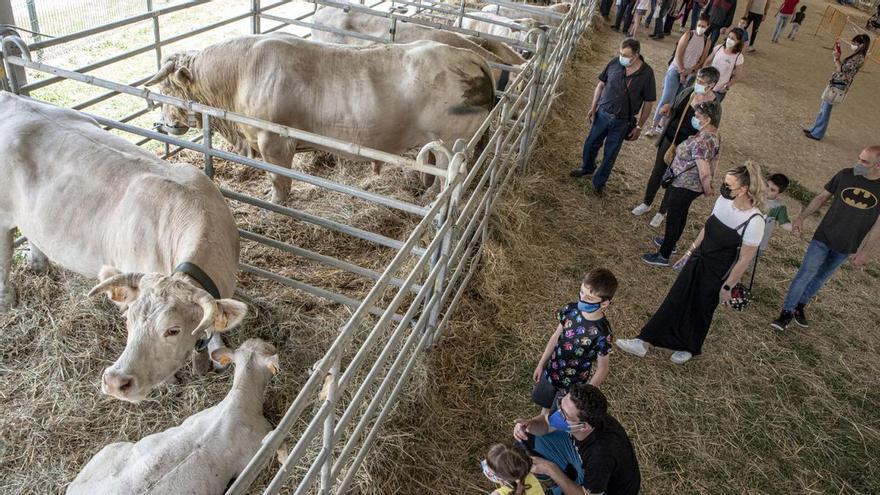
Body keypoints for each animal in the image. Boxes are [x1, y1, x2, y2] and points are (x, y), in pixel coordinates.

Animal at [0, 92, 244, 404]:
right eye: (128, 319)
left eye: (172, 330)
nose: (115, 381)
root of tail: (10, 98)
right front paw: (169, 382)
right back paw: (7, 300)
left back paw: (39, 264)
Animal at [148, 34, 498, 201]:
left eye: (167, 87)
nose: (164, 125)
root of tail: (471, 57)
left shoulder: (273, 142)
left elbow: (279, 178)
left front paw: (276, 201)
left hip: (453, 141)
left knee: (445, 175)